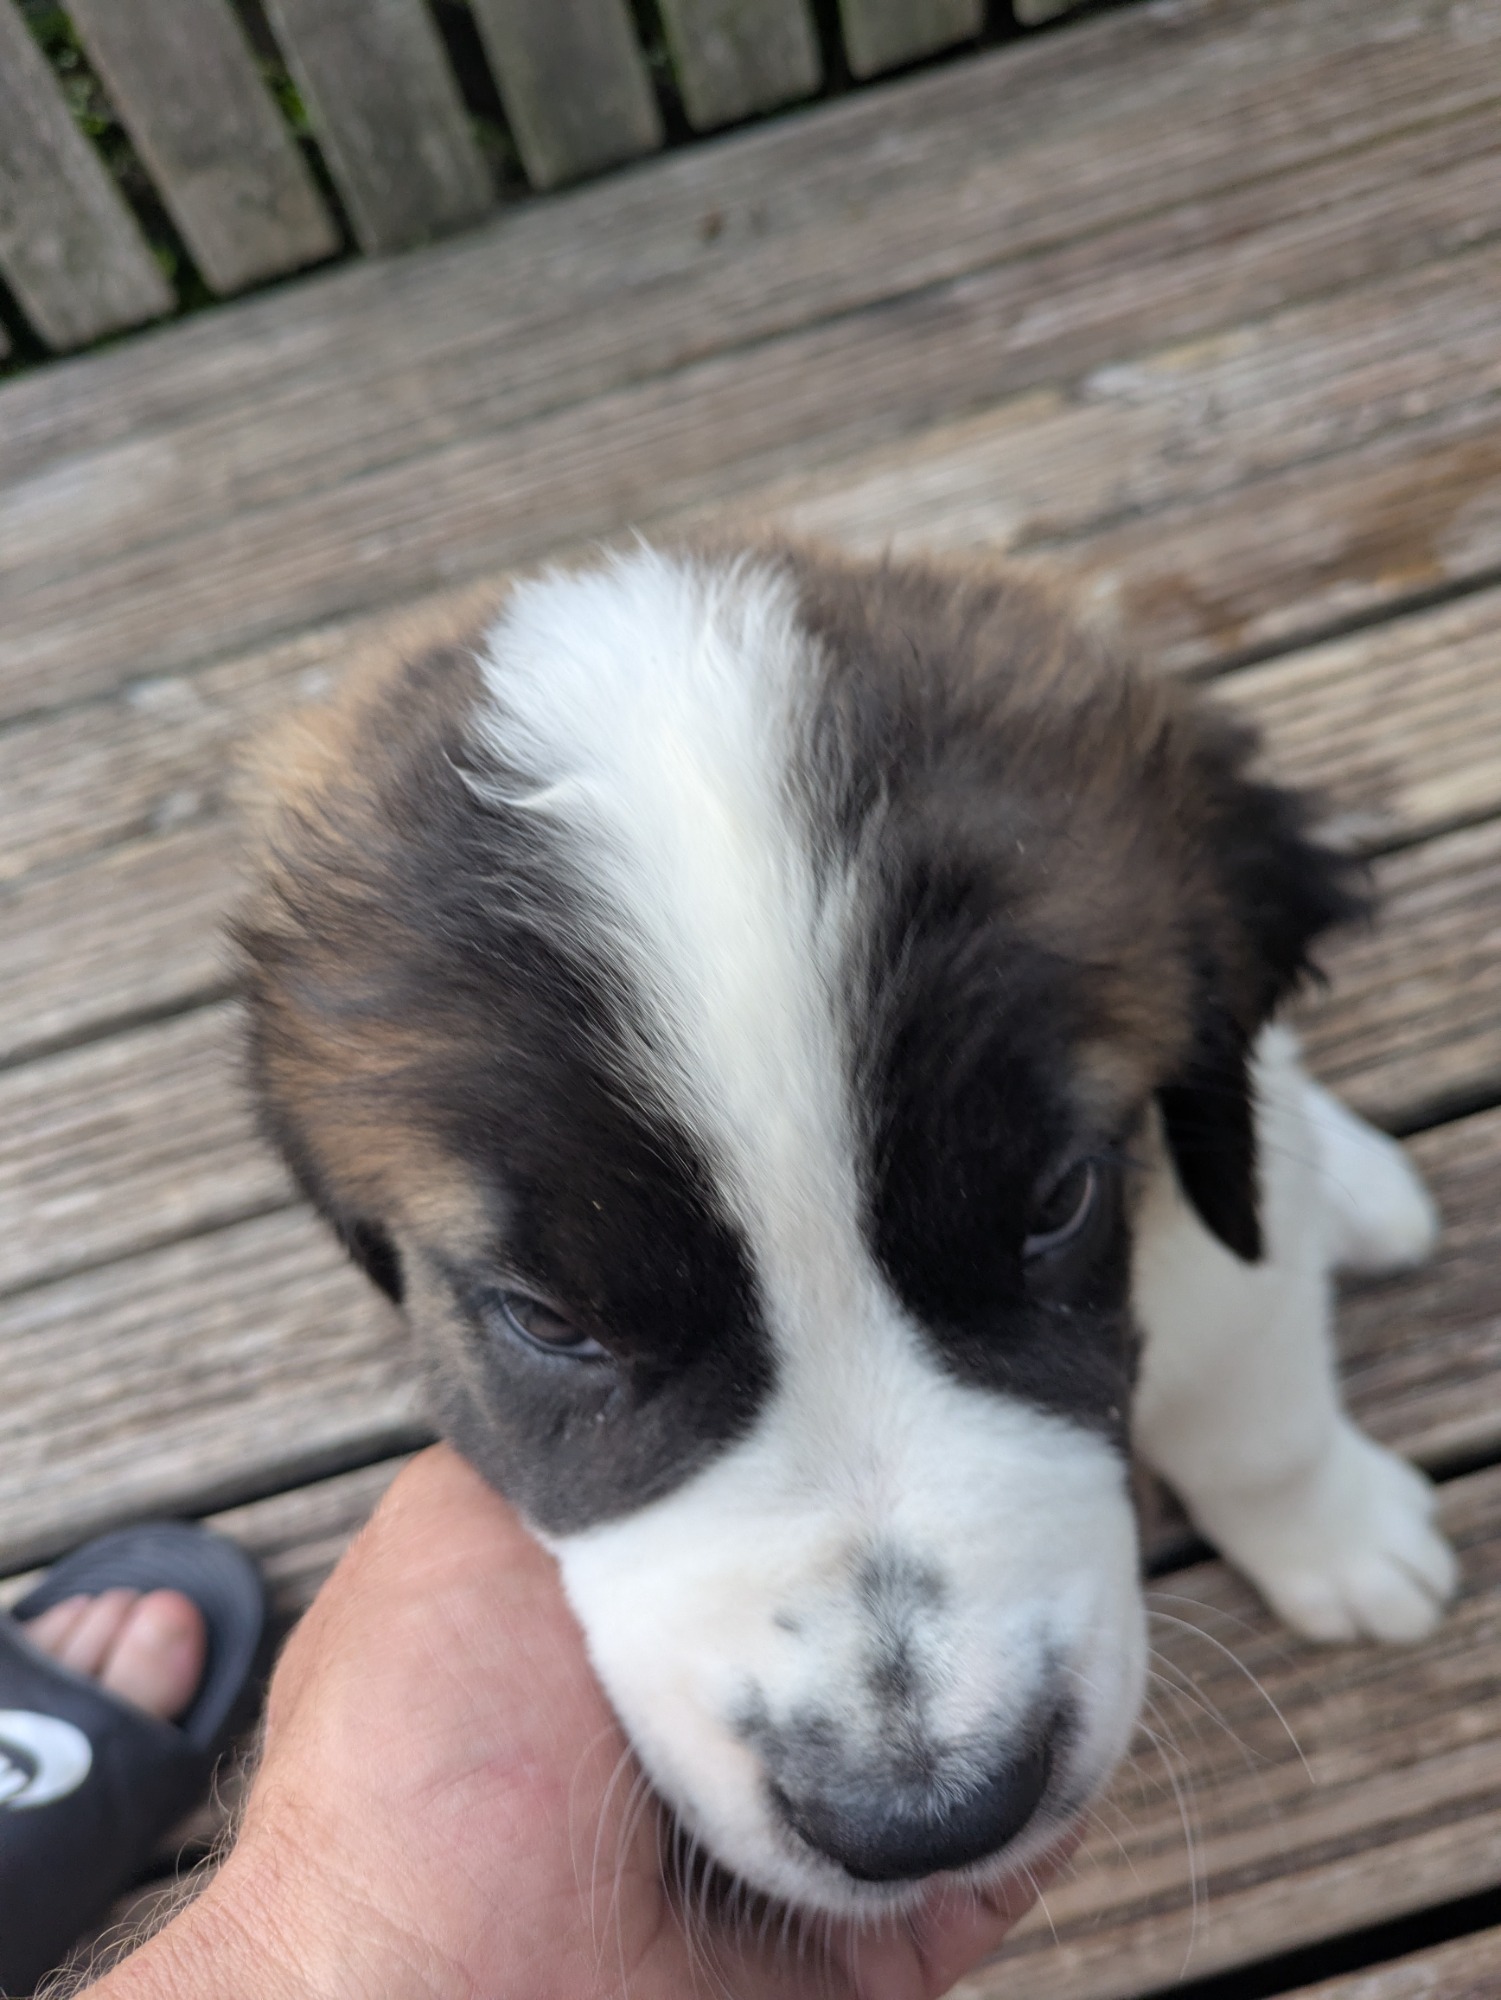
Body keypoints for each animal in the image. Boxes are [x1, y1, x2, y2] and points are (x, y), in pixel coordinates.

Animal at [235, 538, 1457, 1918]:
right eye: (548, 1321)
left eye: (1055, 1206)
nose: (926, 1813)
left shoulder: (1200, 1228)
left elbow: (1259, 1420)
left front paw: (1342, 1544)